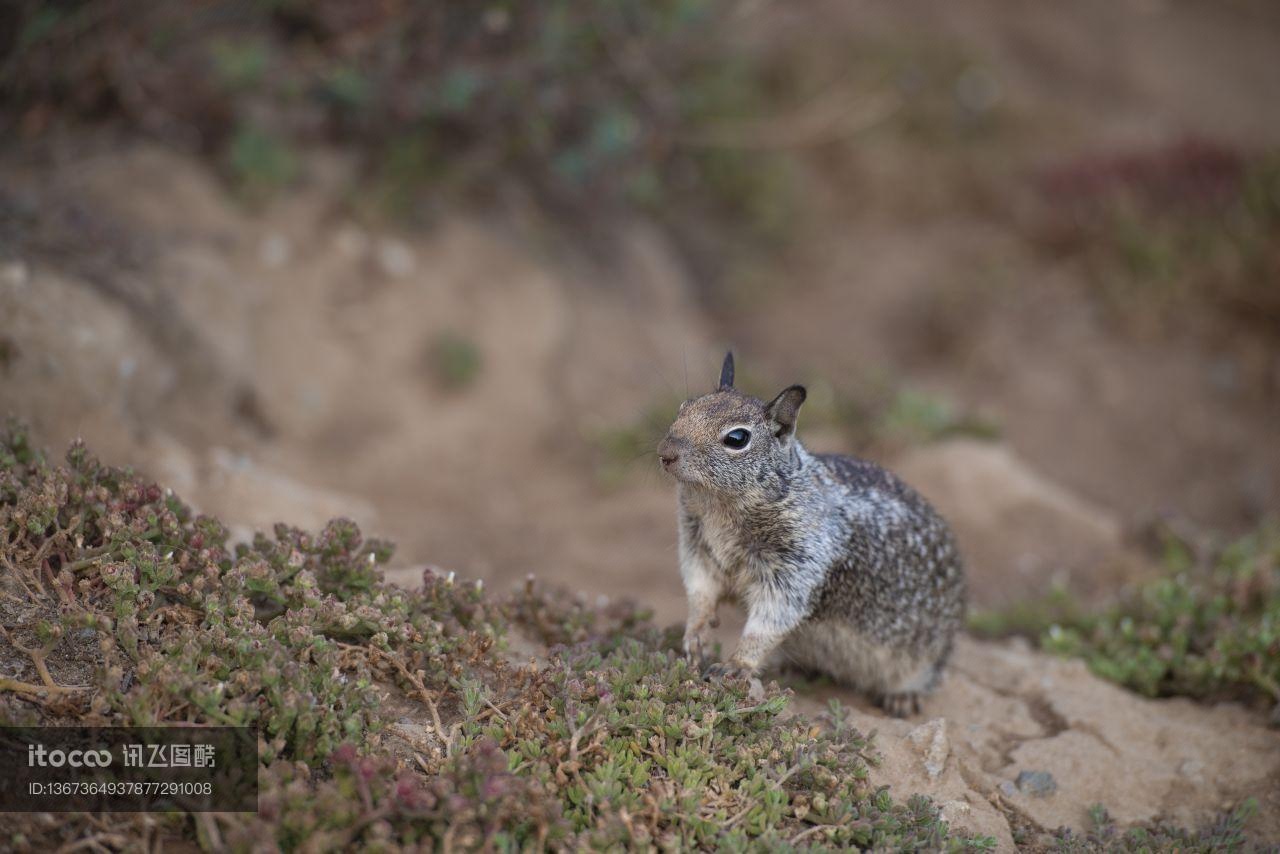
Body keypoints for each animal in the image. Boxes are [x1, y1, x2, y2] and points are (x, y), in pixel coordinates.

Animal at [660, 350, 962, 717]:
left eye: (737, 438)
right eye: (684, 407)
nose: (665, 452)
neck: (720, 508)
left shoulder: (798, 565)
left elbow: (769, 620)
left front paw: (737, 665)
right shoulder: (697, 549)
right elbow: (700, 592)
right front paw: (696, 634)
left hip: (927, 657)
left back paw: (904, 698)